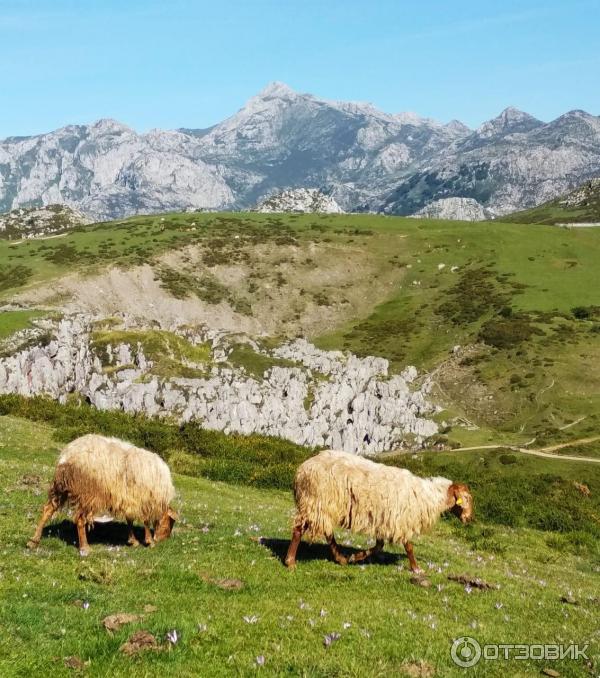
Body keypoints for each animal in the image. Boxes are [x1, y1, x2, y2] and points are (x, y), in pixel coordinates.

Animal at [27, 436, 177, 556]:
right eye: (170, 523)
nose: (162, 540)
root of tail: (68, 456)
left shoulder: (130, 499)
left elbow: (130, 519)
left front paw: (133, 541)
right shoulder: (145, 499)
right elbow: (145, 521)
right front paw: (149, 541)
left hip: (60, 487)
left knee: (48, 510)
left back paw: (34, 541)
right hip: (87, 493)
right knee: (80, 520)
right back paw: (85, 548)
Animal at [284, 452, 474, 572]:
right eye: (466, 498)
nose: (469, 518)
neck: (427, 497)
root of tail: (301, 470)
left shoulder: (385, 520)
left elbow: (378, 546)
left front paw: (355, 557)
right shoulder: (400, 520)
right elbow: (409, 547)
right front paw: (416, 568)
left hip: (323, 506)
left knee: (328, 532)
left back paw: (341, 558)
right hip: (315, 501)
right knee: (299, 529)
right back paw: (290, 562)